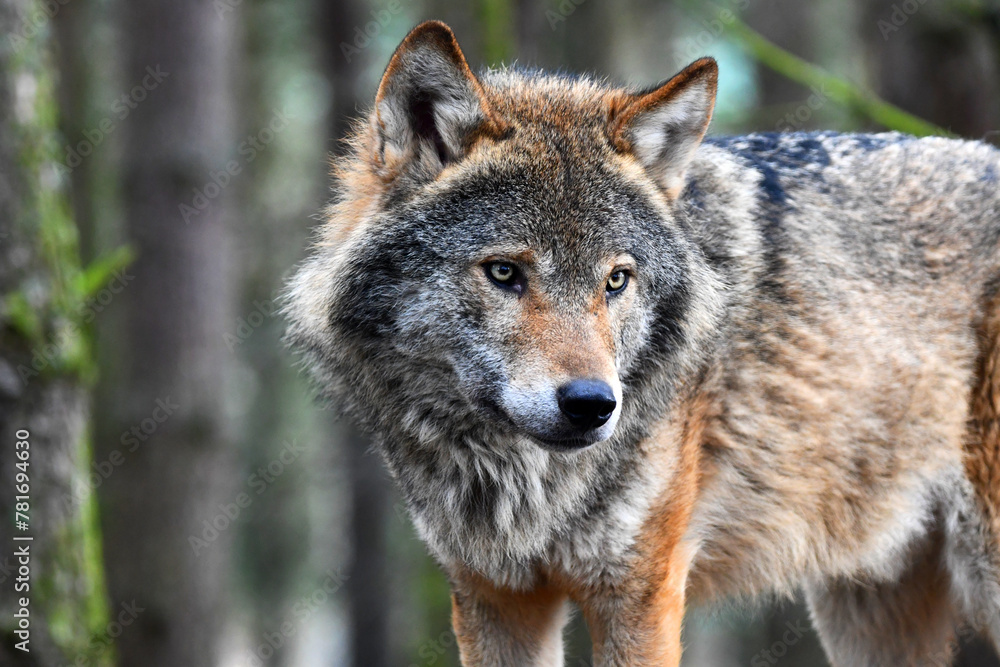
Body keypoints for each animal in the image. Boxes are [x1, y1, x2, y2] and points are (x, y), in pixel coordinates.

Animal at [285, 20, 1000, 666]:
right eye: (504, 272)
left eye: (616, 279)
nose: (592, 404)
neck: (521, 481)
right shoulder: (495, 598)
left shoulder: (638, 592)